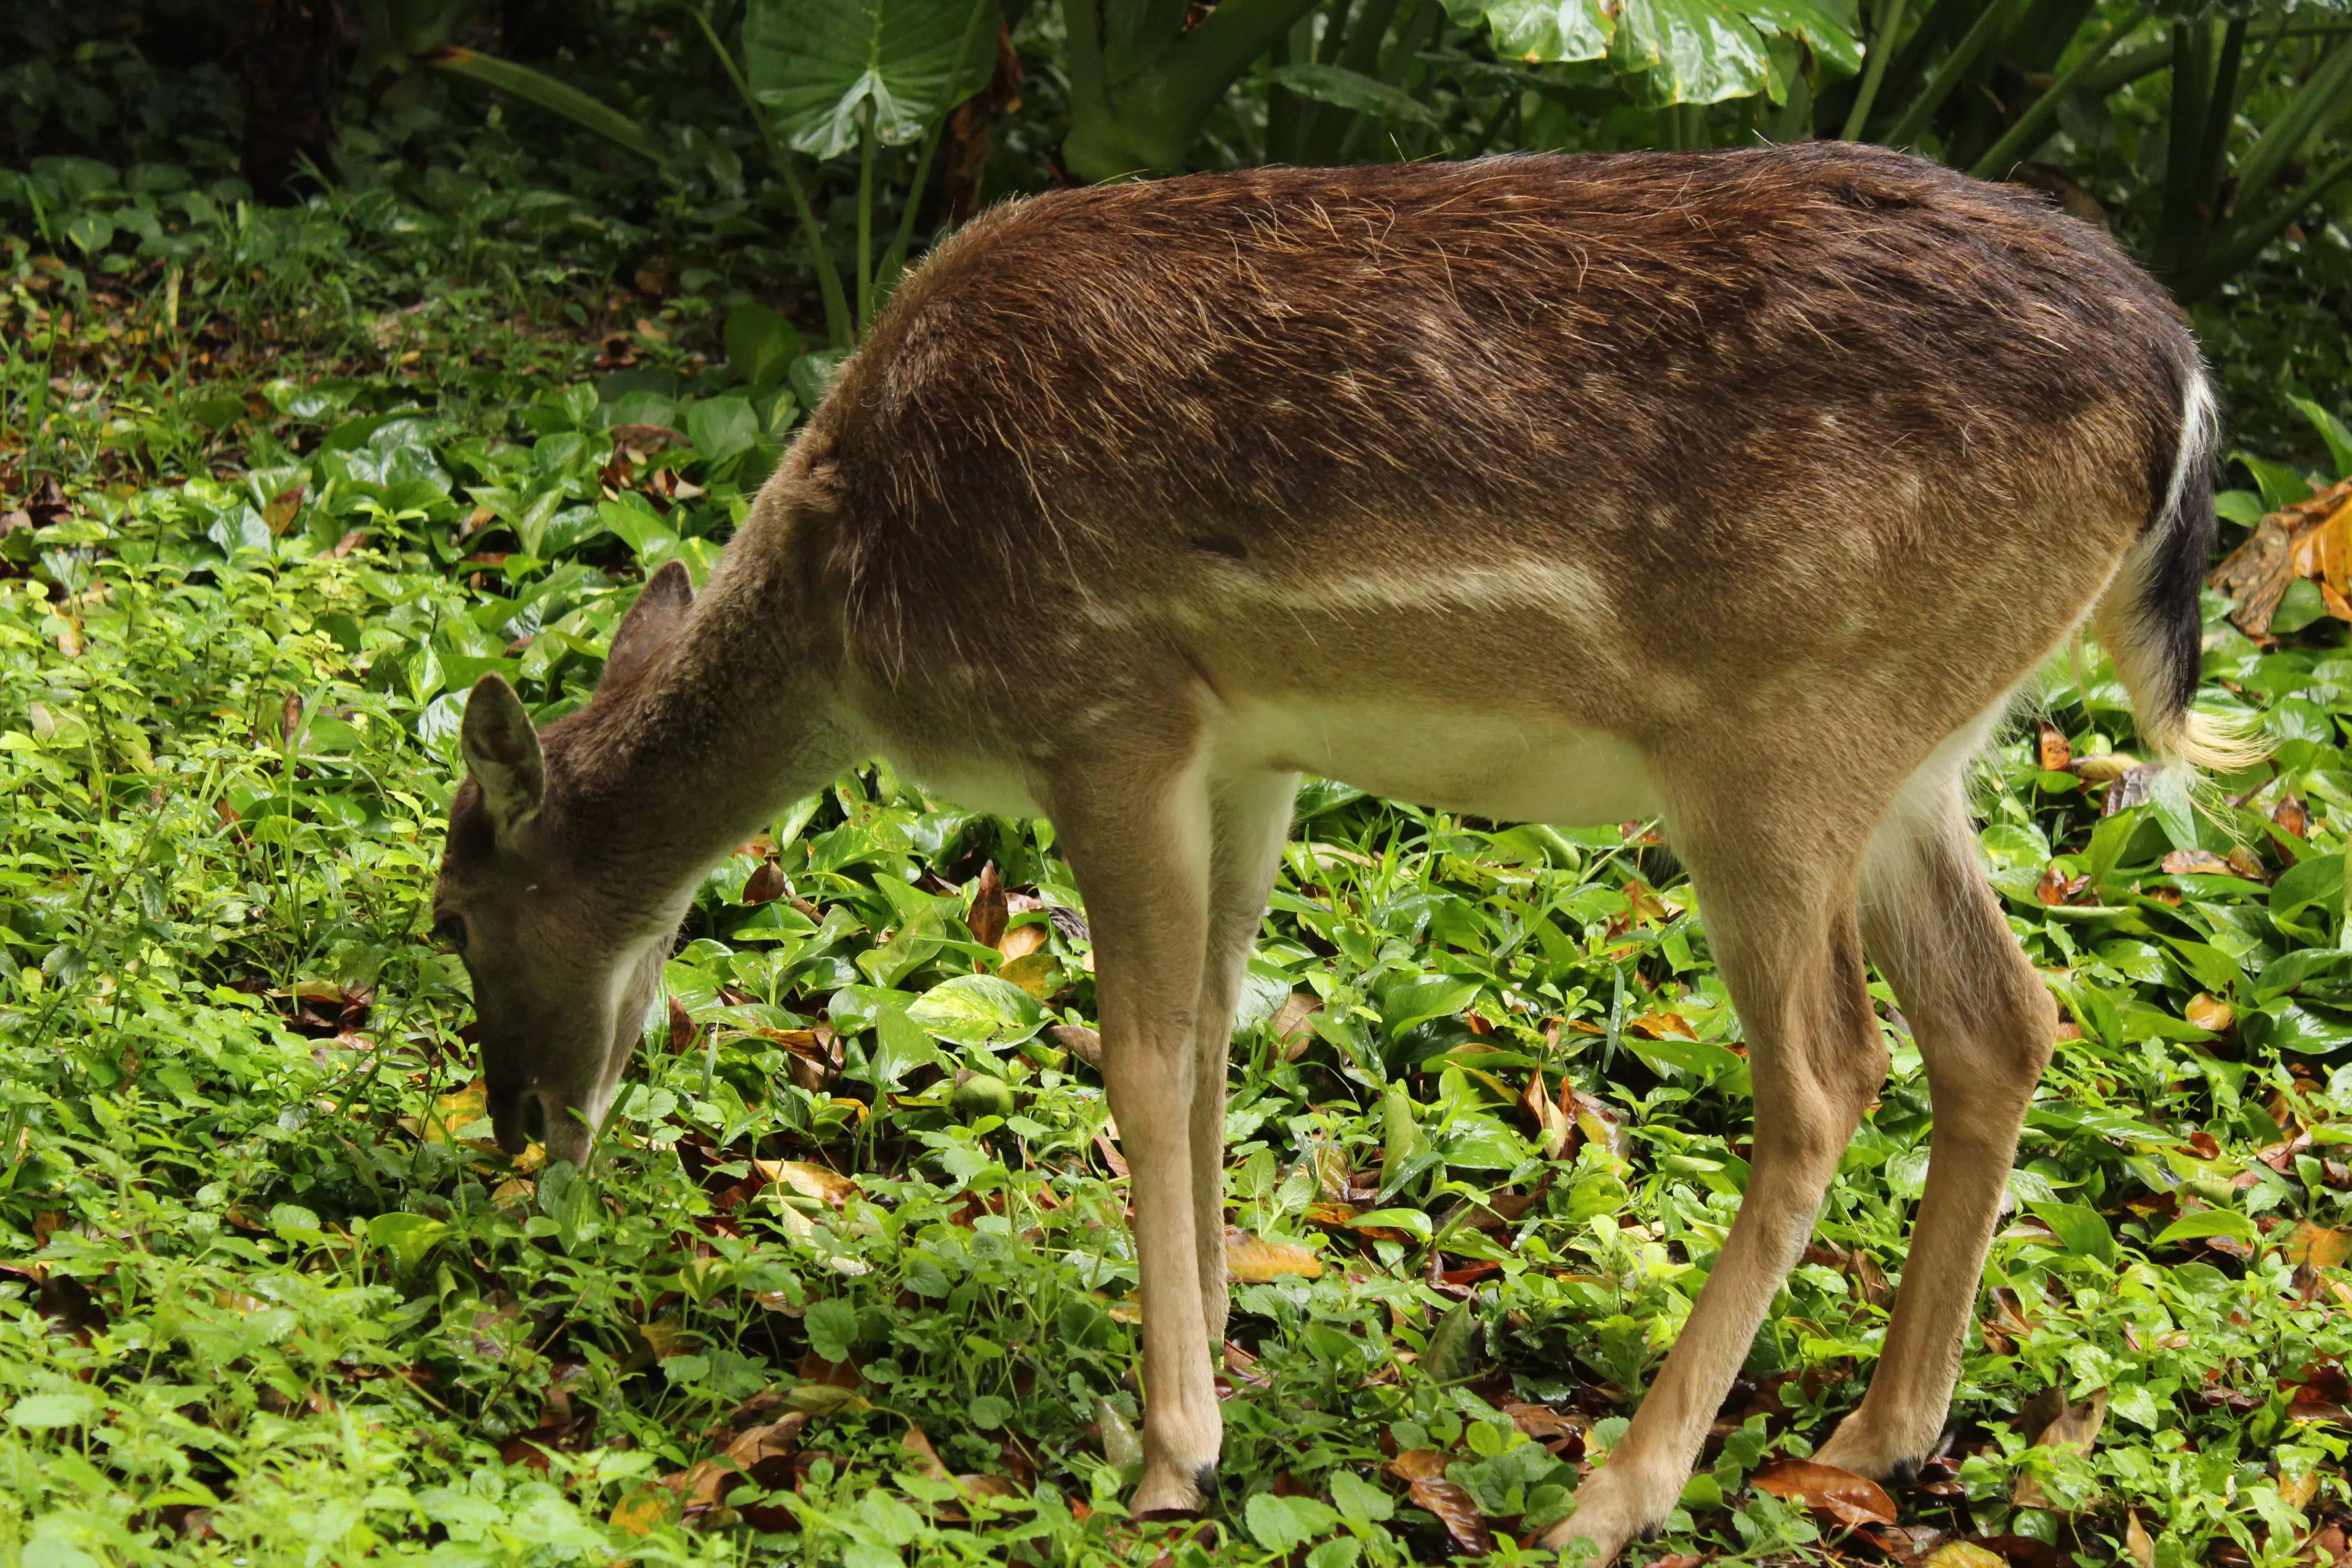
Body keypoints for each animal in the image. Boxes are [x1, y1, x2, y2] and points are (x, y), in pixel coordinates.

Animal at [432, 144, 2248, 1561]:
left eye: (452, 914)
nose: (519, 1134)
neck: (863, 603)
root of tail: (2185, 386)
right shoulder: (1247, 750)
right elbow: (1219, 1027)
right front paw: (1211, 1343)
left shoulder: (1106, 708)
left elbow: (1138, 1050)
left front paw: (1173, 1448)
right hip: (1922, 754)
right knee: (2004, 1020)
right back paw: (1880, 1435)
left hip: (1778, 740)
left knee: (1828, 1076)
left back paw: (1616, 1496)